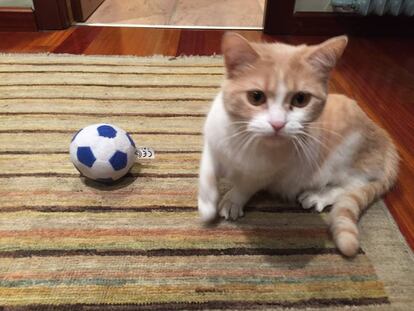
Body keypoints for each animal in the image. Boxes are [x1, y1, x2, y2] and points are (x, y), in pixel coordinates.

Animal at [199, 33, 400, 258]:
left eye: (301, 99)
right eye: (256, 97)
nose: (278, 123)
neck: (244, 138)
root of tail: (385, 138)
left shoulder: (266, 173)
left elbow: (246, 185)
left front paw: (233, 199)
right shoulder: (213, 140)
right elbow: (207, 169)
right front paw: (207, 202)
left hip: (346, 154)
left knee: (355, 183)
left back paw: (318, 195)